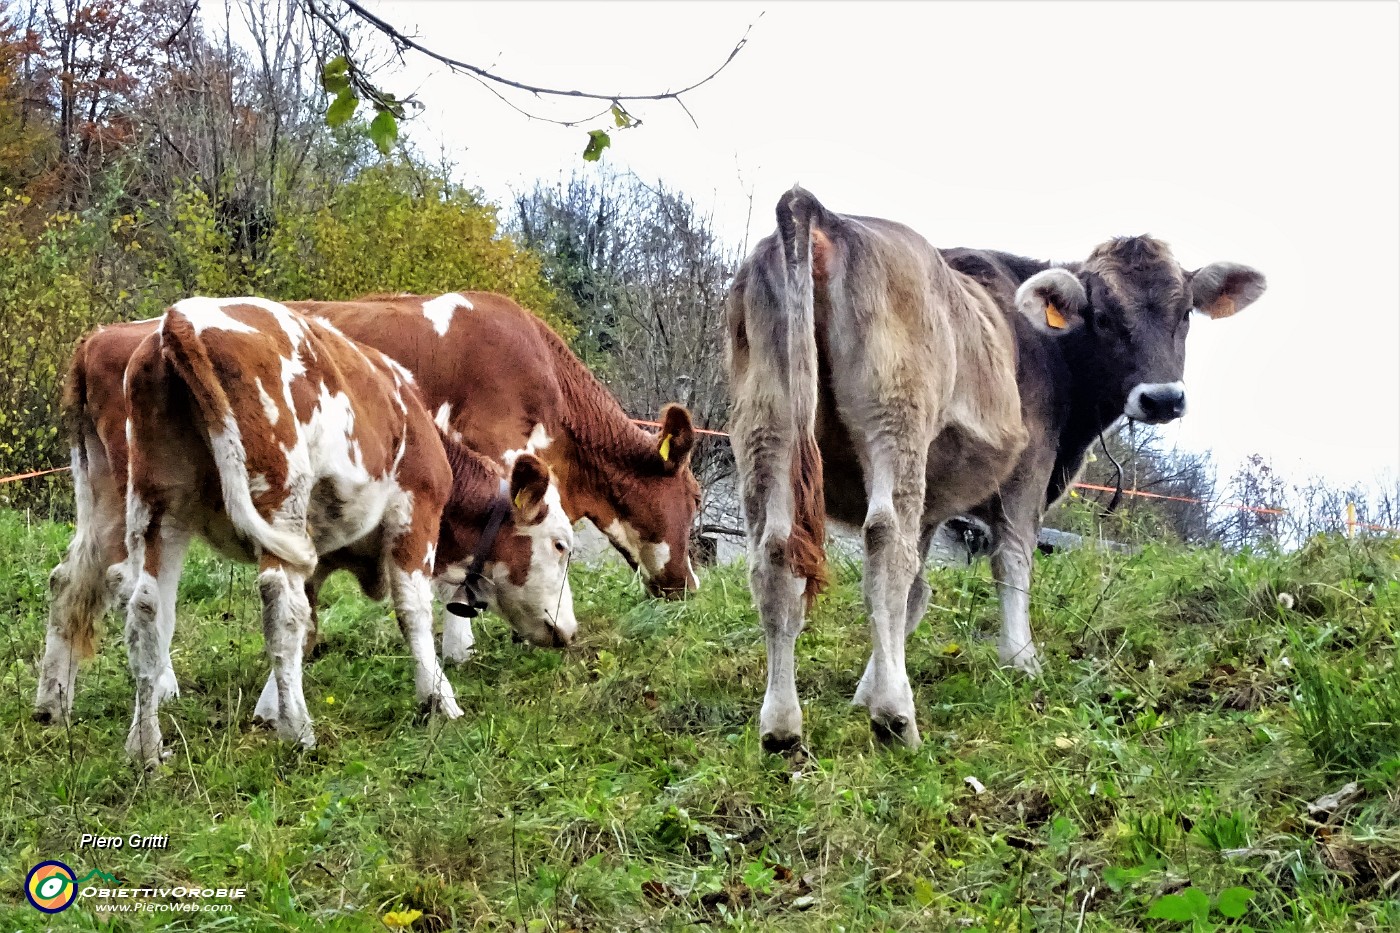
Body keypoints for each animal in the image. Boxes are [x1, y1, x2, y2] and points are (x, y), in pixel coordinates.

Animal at [36, 298, 574, 756]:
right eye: (561, 545)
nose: (569, 630)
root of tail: (178, 320)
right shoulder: (414, 514)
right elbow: (411, 611)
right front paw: (439, 699)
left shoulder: (314, 554)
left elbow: (307, 625)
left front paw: (268, 709)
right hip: (275, 497)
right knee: (273, 598)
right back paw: (300, 734)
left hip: (150, 506)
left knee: (132, 603)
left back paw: (127, 739)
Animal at [728, 189, 1265, 750]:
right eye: (1102, 316)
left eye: (1184, 313)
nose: (1162, 399)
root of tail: (820, 215)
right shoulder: (1030, 466)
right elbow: (1011, 559)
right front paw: (1020, 661)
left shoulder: (933, 502)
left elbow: (917, 593)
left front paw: (865, 689)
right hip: (896, 416)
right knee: (885, 544)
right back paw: (896, 716)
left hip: (765, 423)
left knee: (776, 553)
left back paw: (781, 727)